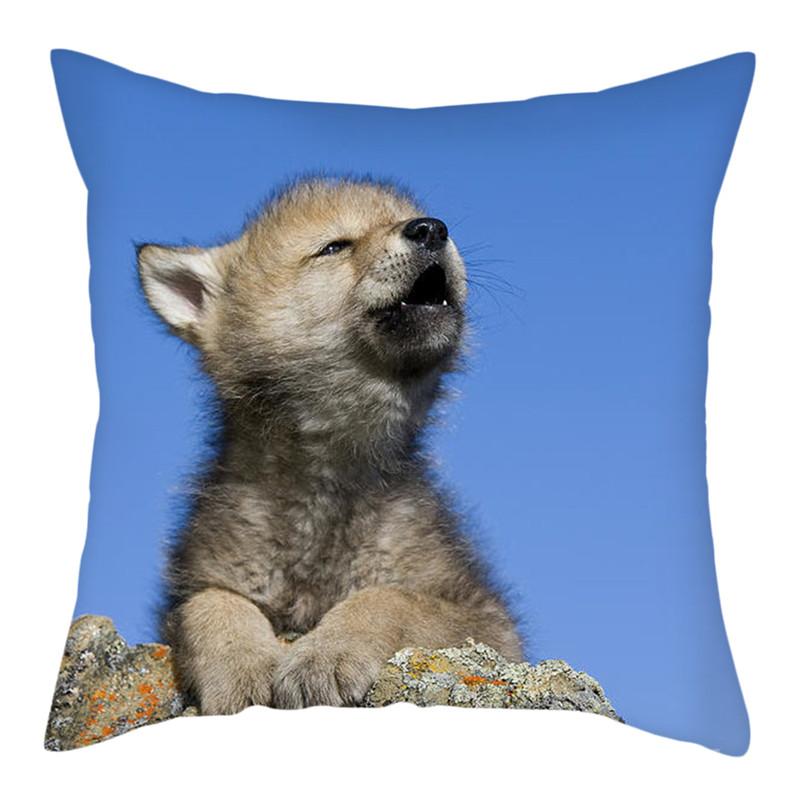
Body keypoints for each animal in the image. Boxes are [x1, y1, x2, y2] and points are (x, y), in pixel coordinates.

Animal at [137, 176, 523, 714]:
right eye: (334, 246)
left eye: (412, 219)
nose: (431, 228)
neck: (326, 479)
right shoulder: (197, 586)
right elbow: (213, 603)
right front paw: (240, 667)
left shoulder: (490, 622)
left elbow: (388, 599)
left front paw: (326, 656)